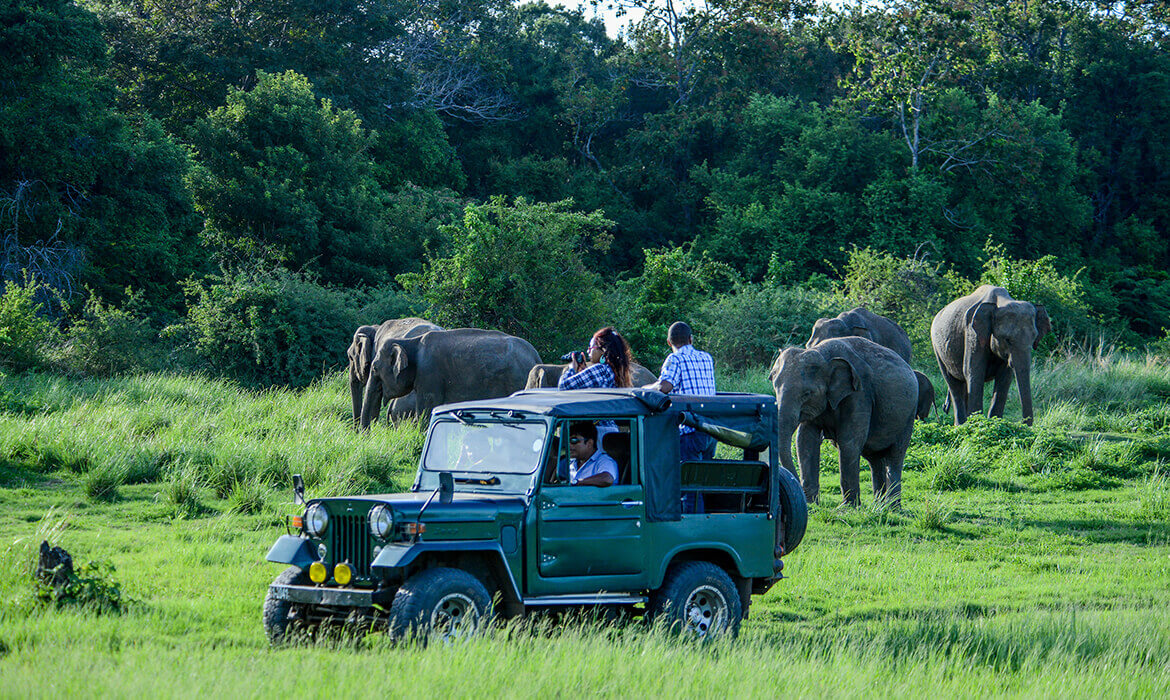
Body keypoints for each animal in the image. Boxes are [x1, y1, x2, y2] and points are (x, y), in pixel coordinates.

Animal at [358, 330, 540, 428]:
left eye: (374, 368)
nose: (367, 436)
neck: (409, 342)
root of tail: (535, 356)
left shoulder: (430, 374)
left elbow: (425, 412)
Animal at [772, 337, 917, 508]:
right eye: (775, 387)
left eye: (807, 393)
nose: (796, 487)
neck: (823, 353)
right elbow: (805, 440)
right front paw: (811, 504)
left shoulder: (860, 393)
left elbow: (849, 442)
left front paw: (847, 508)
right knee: (874, 459)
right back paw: (879, 506)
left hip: (908, 416)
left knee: (895, 456)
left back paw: (892, 508)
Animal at [931, 285, 1053, 428]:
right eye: (1007, 340)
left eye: (1034, 338)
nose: (1024, 424)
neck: (1001, 301)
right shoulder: (973, 333)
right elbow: (974, 372)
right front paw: (977, 424)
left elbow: (1005, 377)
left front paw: (994, 423)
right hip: (937, 347)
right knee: (953, 384)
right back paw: (961, 425)